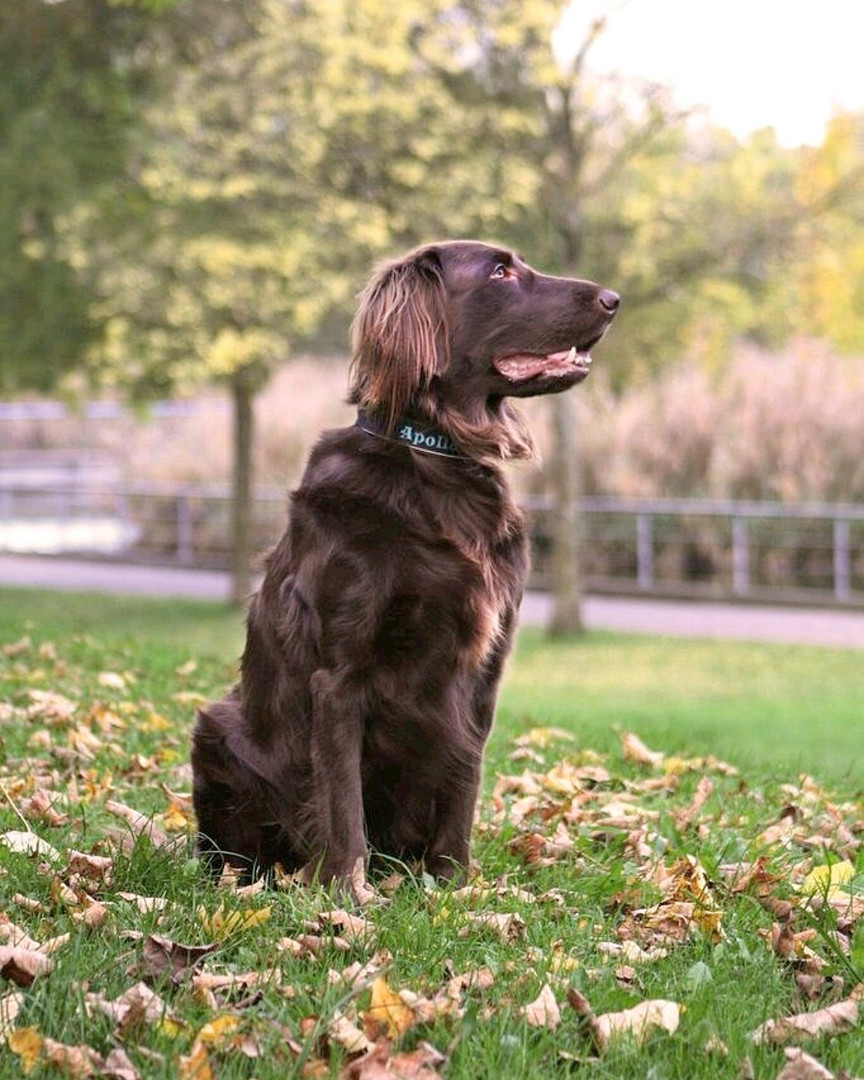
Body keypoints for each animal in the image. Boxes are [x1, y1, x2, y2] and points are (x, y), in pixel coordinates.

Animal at [192, 243, 617, 894]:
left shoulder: (482, 673)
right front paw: (347, 892)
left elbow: (463, 783)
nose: (614, 299)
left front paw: (454, 884)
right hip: (216, 728)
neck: (435, 457)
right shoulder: (338, 676)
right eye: (500, 272)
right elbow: (342, 800)